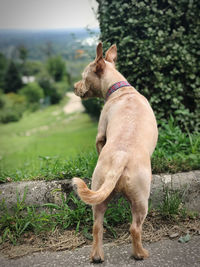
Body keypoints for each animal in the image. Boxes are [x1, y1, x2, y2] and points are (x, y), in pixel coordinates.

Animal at [72, 42, 158, 264]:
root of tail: (121, 156)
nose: (75, 86)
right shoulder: (101, 133)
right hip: (141, 199)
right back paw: (140, 254)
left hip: (99, 188)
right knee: (135, 228)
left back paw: (97, 256)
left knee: (97, 226)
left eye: (83, 77)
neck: (120, 89)